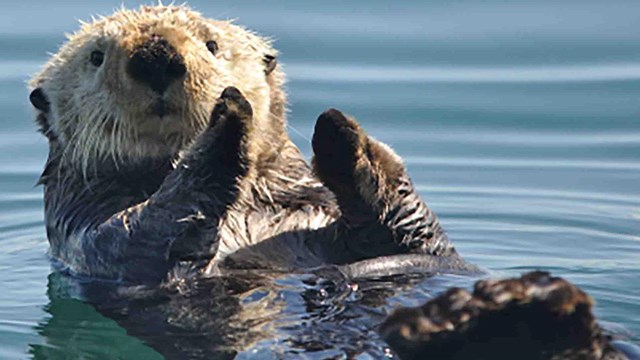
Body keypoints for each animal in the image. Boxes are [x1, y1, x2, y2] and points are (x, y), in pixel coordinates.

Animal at [28, 4, 470, 282]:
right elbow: (151, 227)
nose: (155, 57)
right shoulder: (93, 237)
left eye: (211, 45)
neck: (249, 205)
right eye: (96, 57)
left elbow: (408, 226)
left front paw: (340, 135)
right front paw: (229, 119)